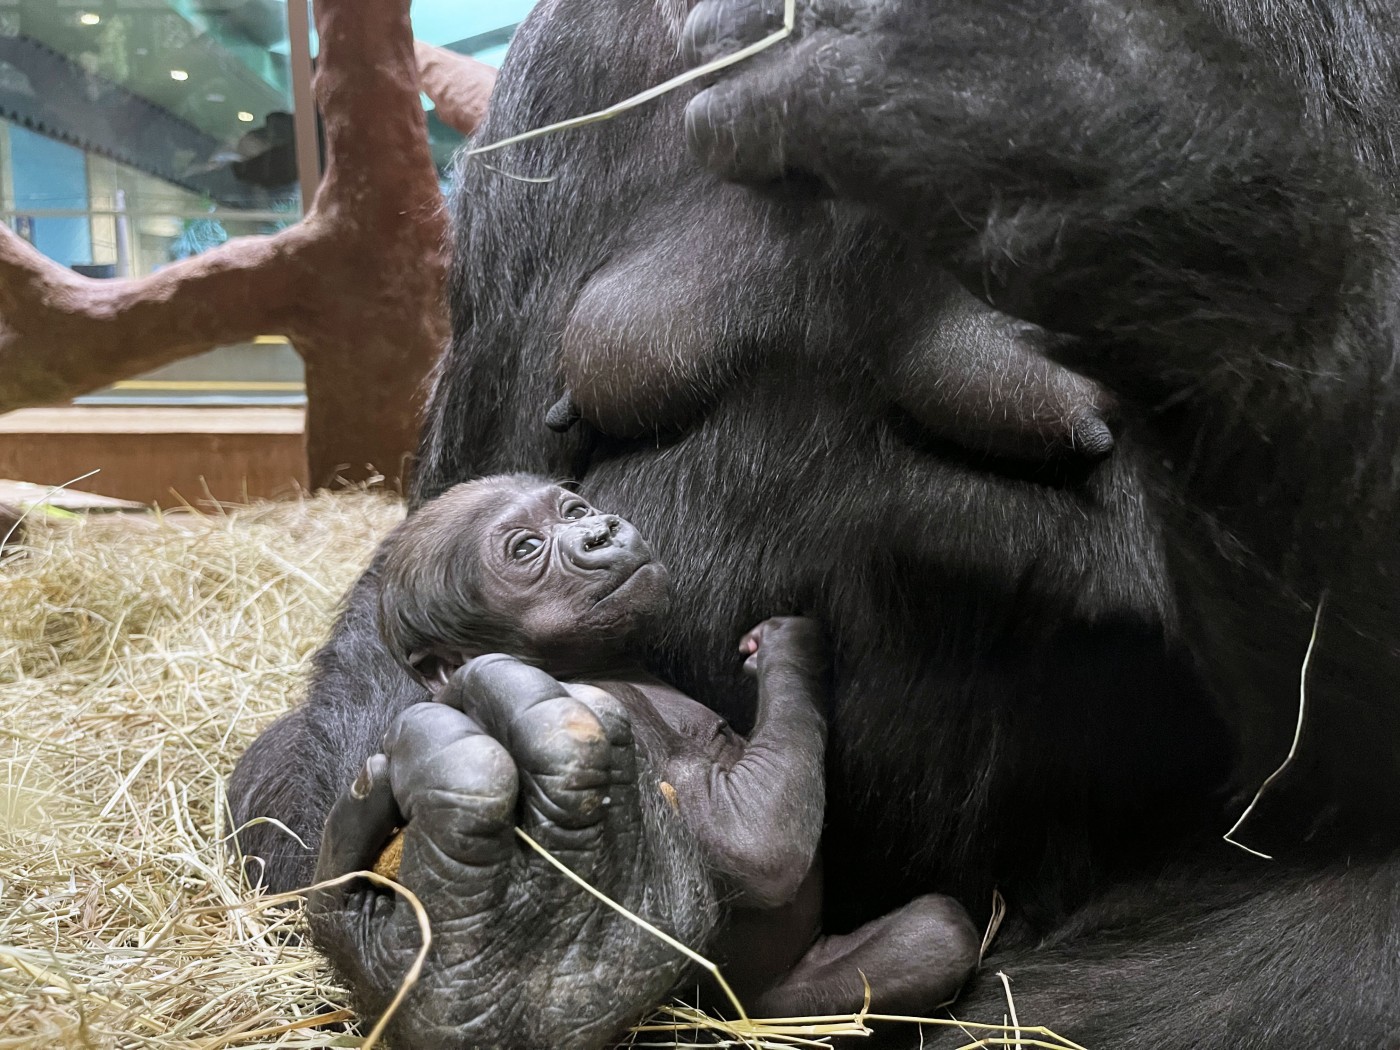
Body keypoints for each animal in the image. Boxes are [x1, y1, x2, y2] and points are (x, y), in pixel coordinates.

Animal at [369, 476, 974, 1019]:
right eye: (525, 550)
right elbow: (755, 845)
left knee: (936, 935)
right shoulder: (598, 712)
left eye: (574, 510)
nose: (599, 532)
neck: (600, 664)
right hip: (749, 998)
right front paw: (789, 646)